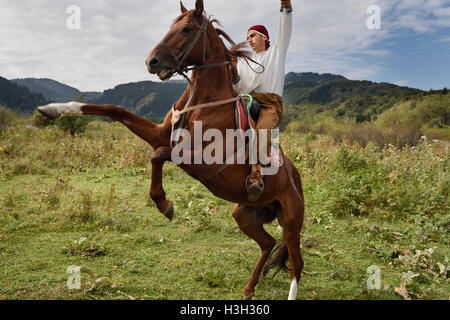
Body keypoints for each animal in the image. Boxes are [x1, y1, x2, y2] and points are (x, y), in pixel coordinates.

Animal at [37, 0, 304, 300]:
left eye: (186, 29)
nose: (151, 61)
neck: (202, 104)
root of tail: (296, 177)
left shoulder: (207, 164)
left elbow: (160, 154)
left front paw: (164, 204)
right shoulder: (159, 134)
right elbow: (114, 110)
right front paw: (55, 109)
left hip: (291, 220)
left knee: (296, 265)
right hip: (245, 214)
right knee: (268, 244)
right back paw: (248, 288)